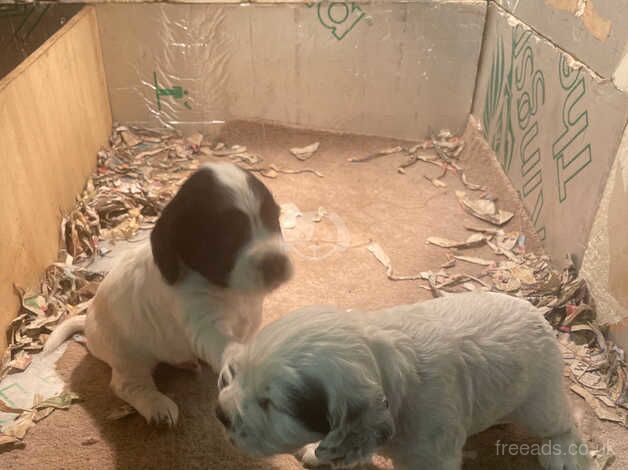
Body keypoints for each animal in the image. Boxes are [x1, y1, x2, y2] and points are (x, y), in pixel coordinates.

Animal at [45, 163, 294, 428]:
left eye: (274, 218)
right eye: (227, 235)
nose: (276, 263)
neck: (230, 290)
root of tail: (87, 324)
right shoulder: (205, 324)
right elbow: (228, 348)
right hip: (128, 356)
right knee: (125, 385)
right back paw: (157, 406)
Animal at [216, 292, 588, 468]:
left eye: (270, 404)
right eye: (236, 373)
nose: (220, 414)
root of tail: (538, 312)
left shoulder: (432, 458)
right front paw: (316, 451)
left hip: (538, 403)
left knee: (564, 421)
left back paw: (563, 453)